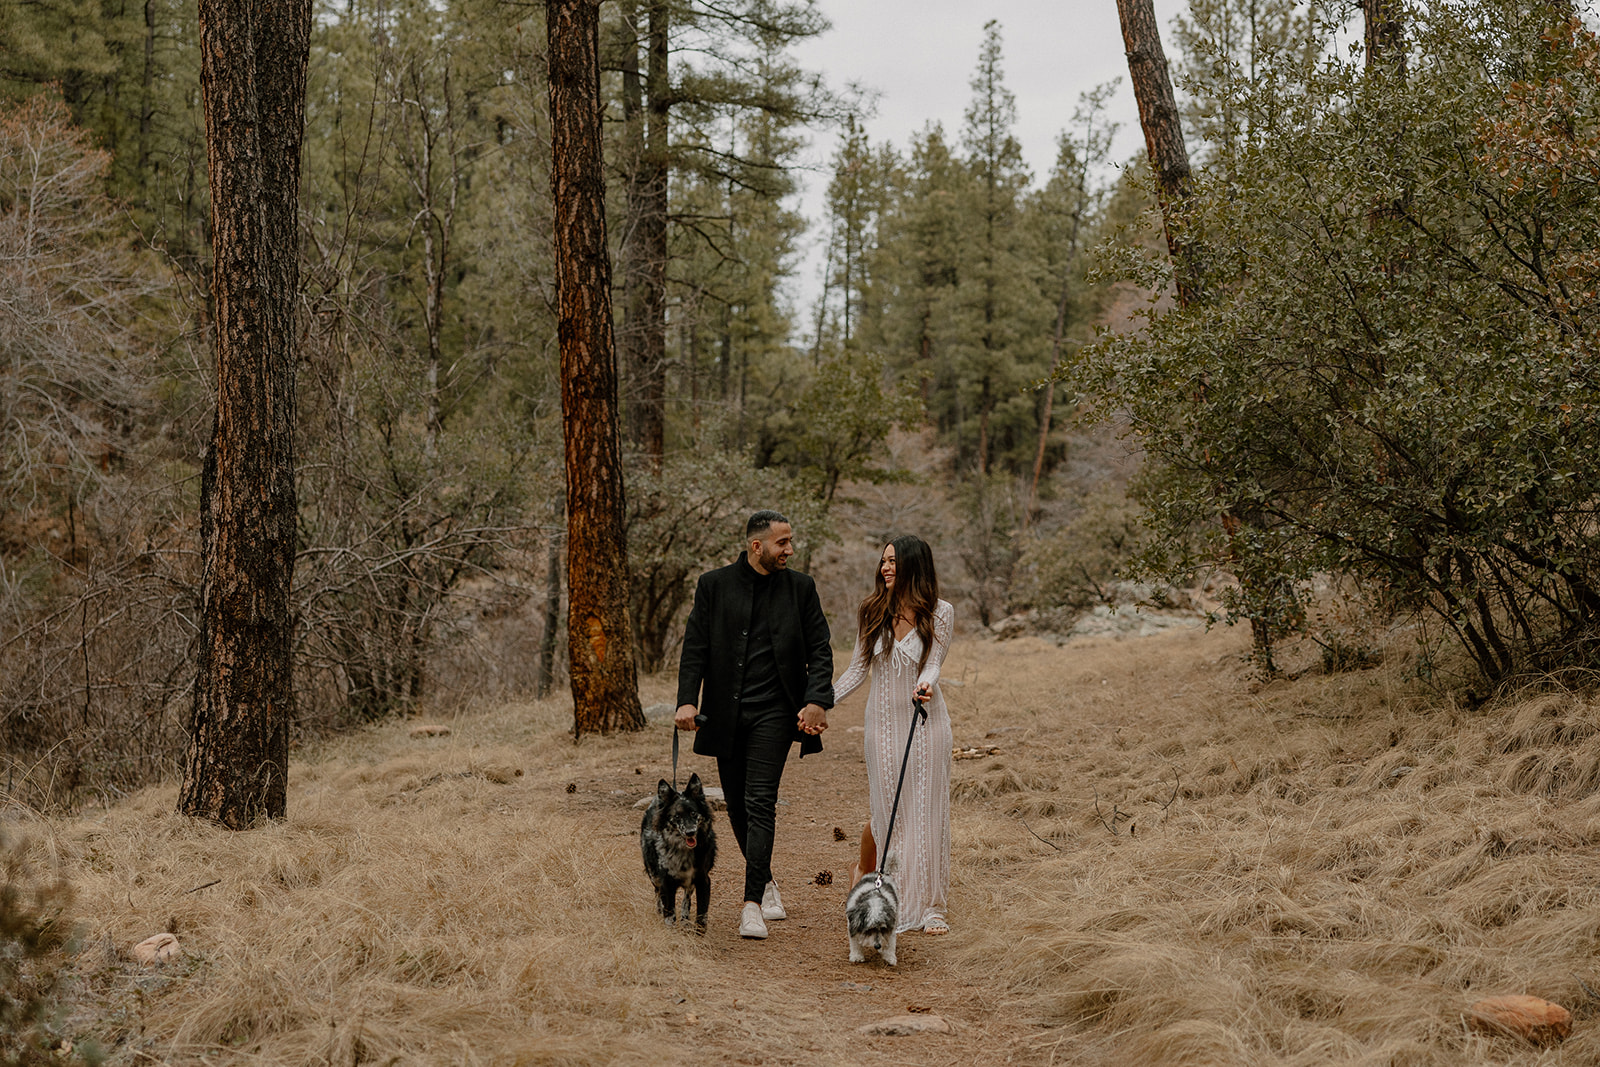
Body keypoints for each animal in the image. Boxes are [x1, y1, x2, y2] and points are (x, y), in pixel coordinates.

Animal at [636, 771, 720, 927]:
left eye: (693, 813)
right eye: (676, 816)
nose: (690, 832)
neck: (683, 851)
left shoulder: (703, 880)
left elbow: (701, 915)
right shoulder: (666, 883)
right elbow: (669, 915)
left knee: (686, 897)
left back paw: (685, 919)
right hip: (653, 874)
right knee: (657, 893)